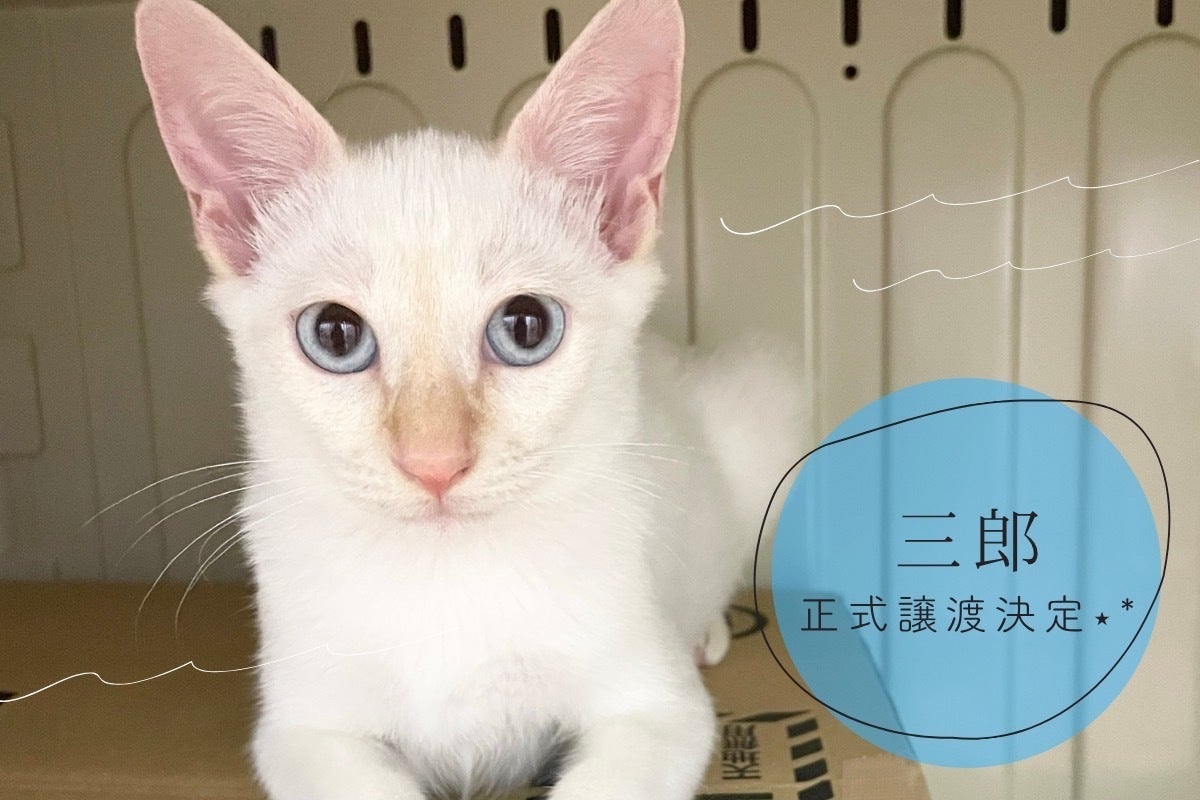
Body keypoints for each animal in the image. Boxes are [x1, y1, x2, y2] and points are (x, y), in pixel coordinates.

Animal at [135, 0, 802, 798]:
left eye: (526, 326)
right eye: (334, 334)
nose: (434, 462)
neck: (447, 577)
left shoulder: (660, 711)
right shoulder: (303, 733)